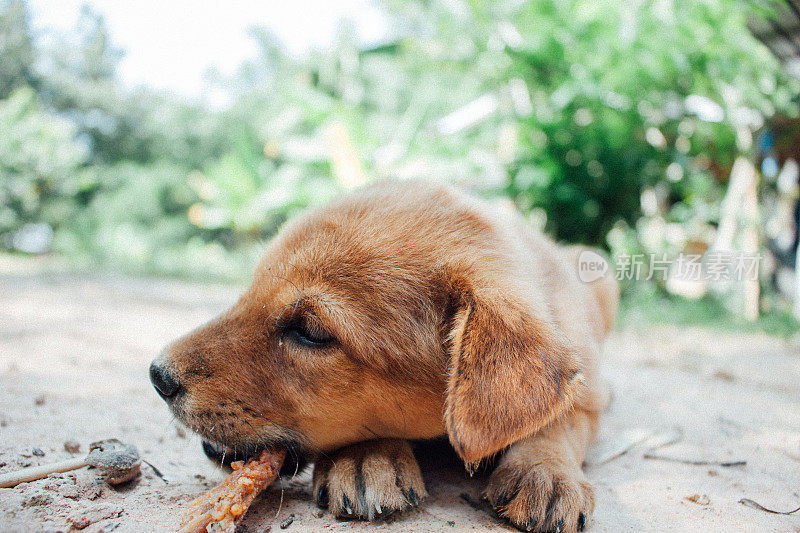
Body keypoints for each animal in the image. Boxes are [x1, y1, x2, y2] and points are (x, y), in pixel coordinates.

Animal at [153, 180, 620, 532]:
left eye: (310, 332)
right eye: (248, 293)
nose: (158, 375)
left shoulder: (589, 391)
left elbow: (559, 420)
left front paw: (546, 472)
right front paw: (368, 456)